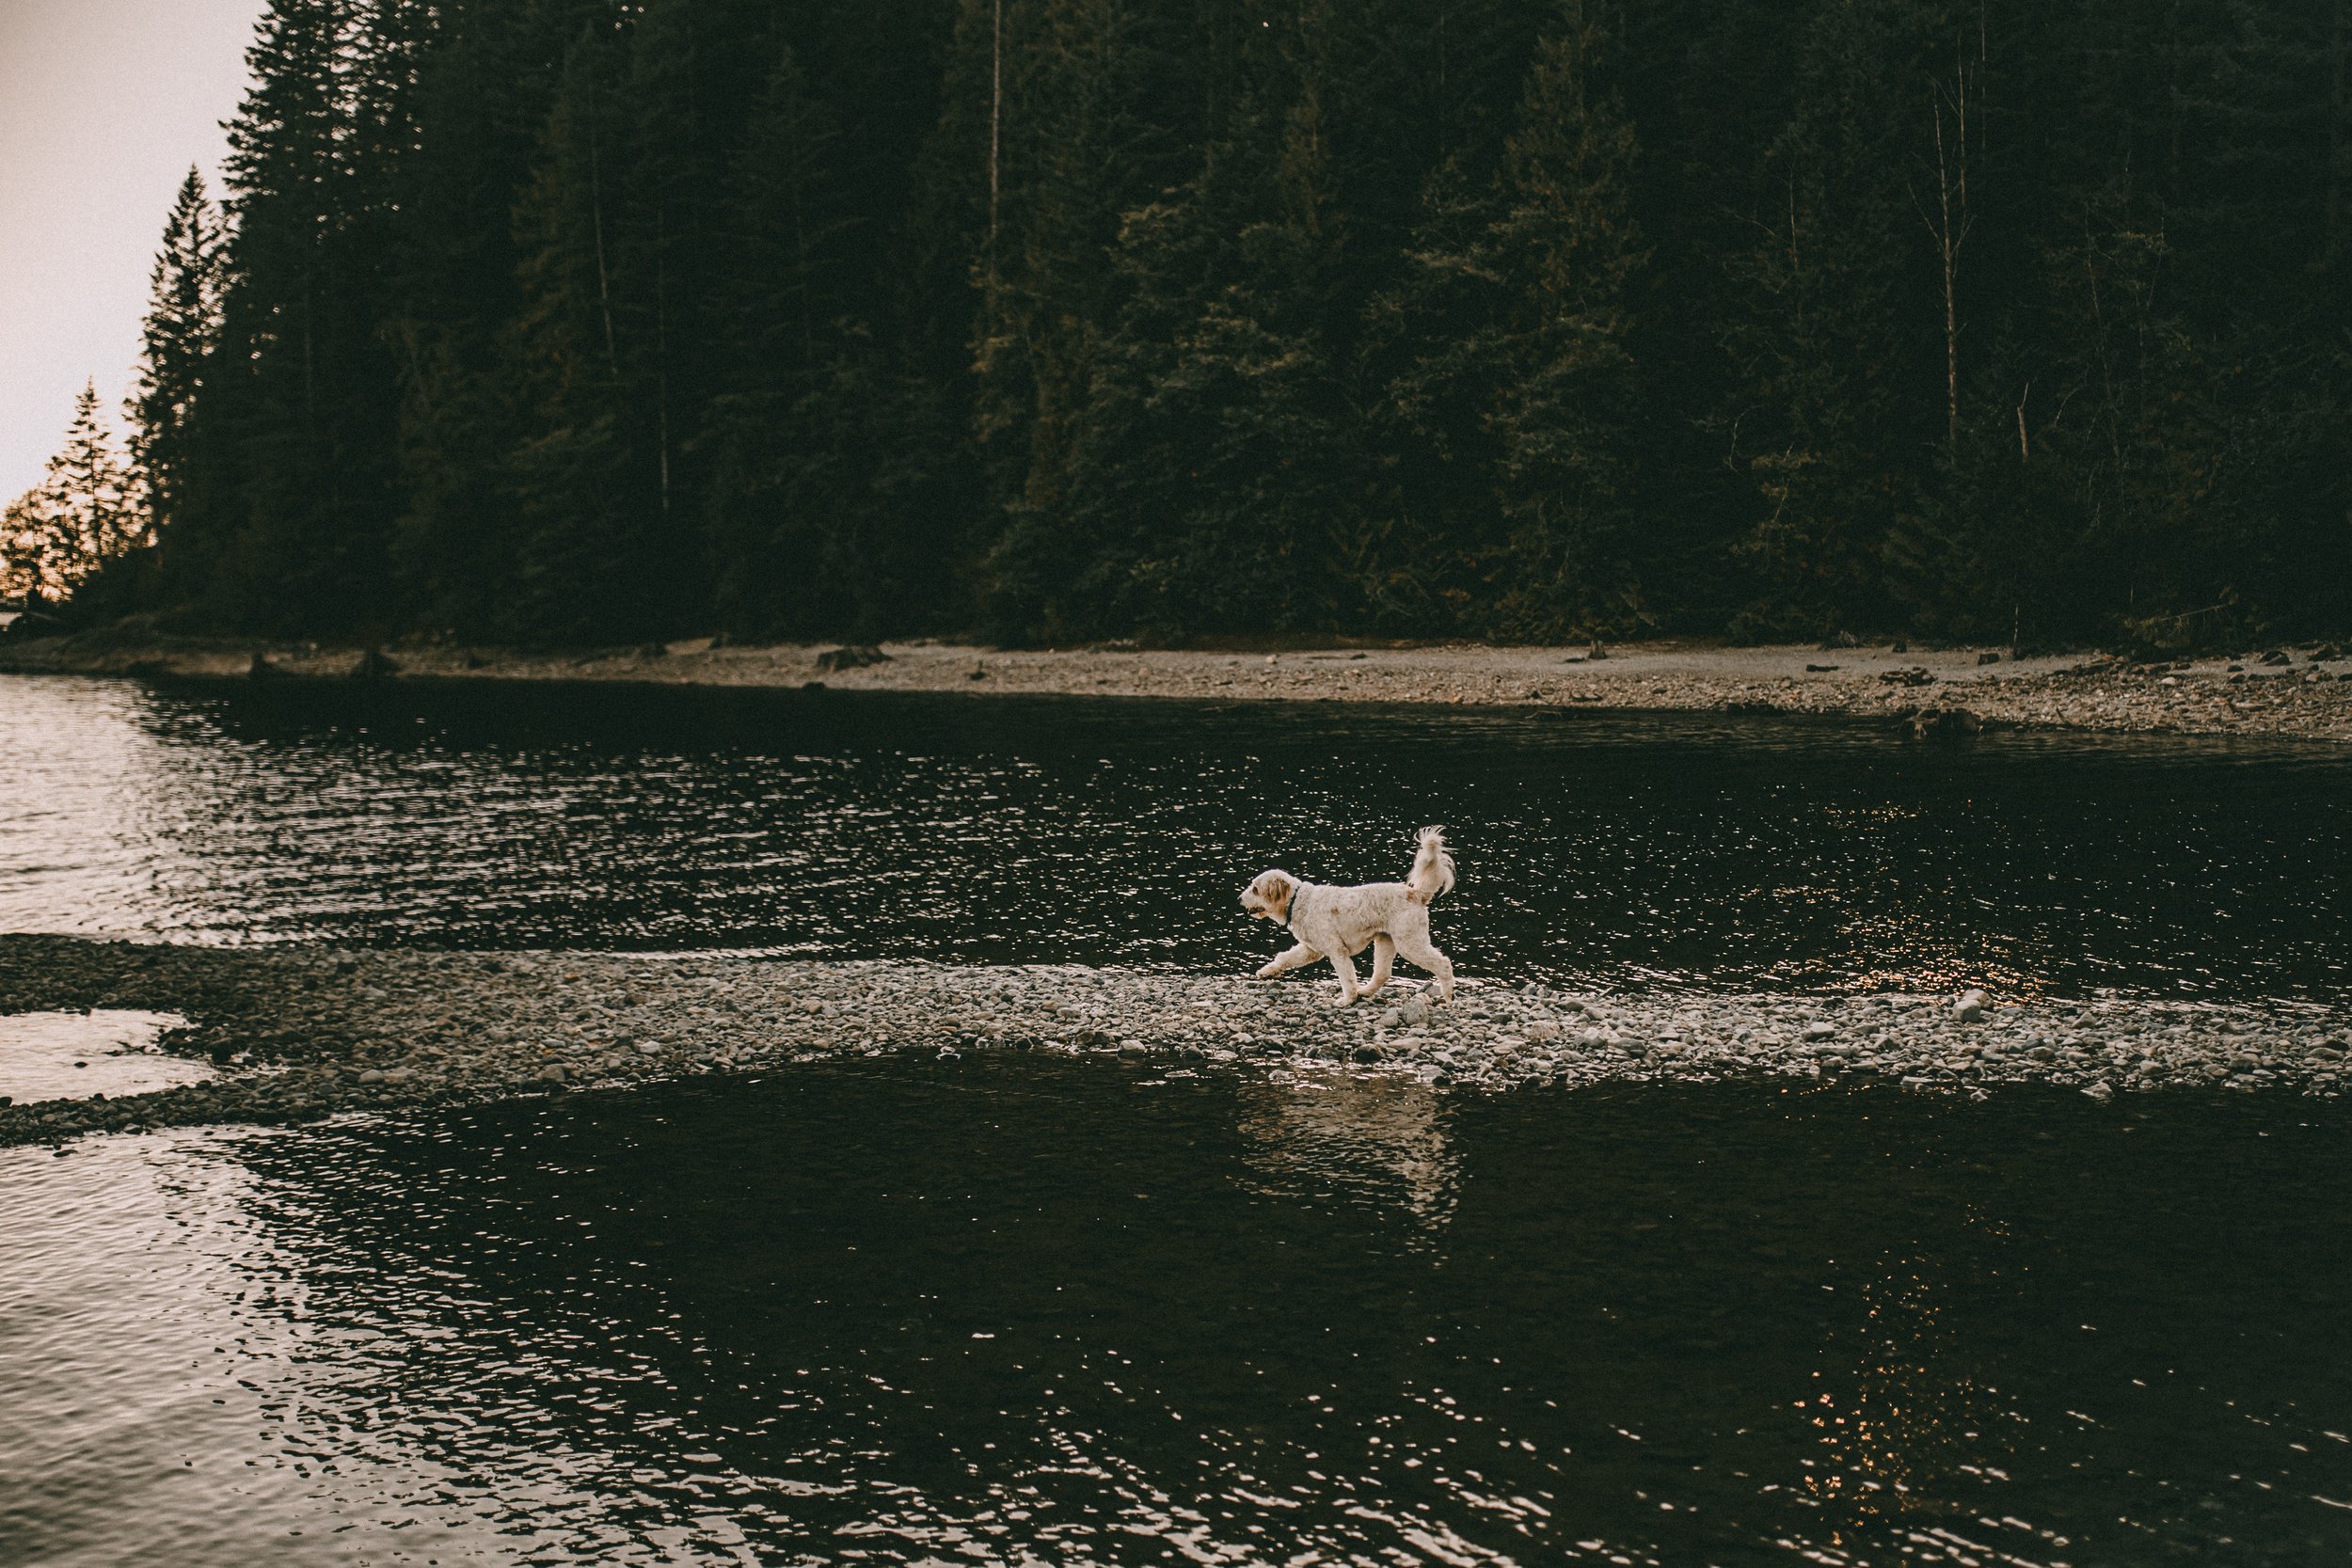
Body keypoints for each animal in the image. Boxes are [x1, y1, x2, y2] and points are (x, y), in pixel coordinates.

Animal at [1251, 832, 1449, 1006]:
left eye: (1255, 890)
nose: (1242, 898)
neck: (1299, 900)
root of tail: (1416, 894)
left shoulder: (1337, 951)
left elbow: (1347, 978)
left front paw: (1347, 1000)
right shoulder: (1310, 950)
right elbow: (1284, 958)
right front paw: (1267, 971)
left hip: (1409, 942)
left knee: (1443, 963)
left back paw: (1448, 994)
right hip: (1386, 941)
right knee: (1382, 974)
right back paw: (1365, 992)